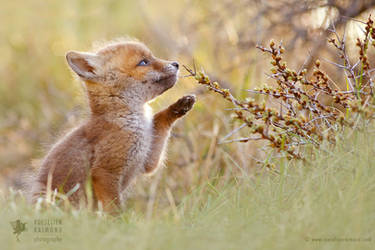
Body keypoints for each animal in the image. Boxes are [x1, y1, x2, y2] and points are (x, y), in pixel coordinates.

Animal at [30, 40, 195, 212]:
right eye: (143, 62)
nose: (176, 63)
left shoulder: (147, 159)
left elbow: (160, 118)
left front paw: (179, 107)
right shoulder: (105, 172)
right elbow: (115, 209)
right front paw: (121, 220)